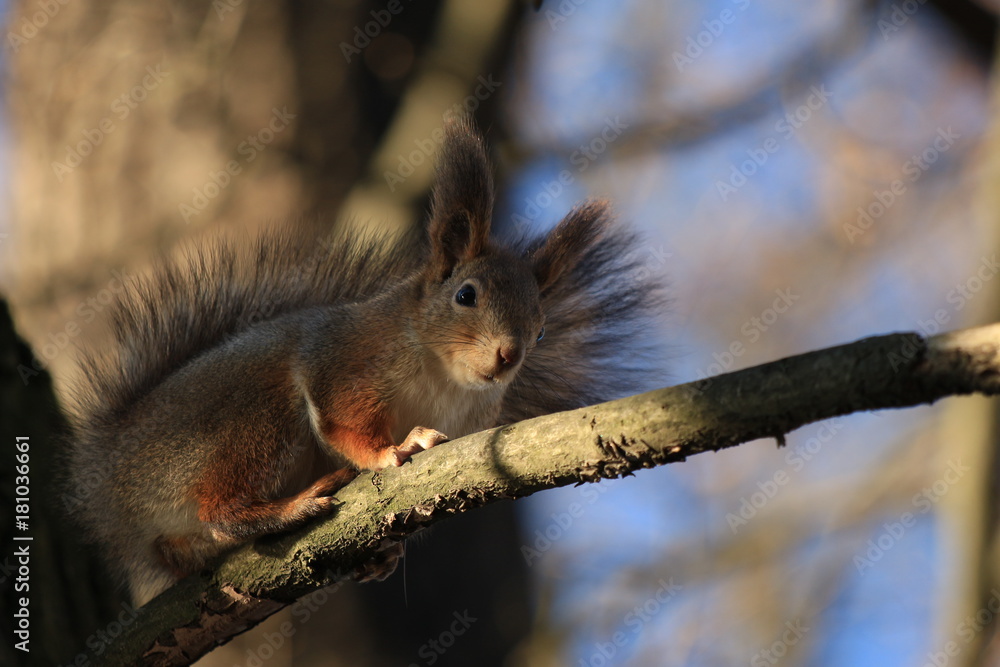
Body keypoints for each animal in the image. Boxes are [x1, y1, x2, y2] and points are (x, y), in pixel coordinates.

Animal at [65, 121, 662, 606]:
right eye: (466, 295)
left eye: (541, 328)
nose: (508, 355)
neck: (445, 378)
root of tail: (111, 487)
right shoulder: (346, 360)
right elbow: (343, 422)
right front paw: (390, 450)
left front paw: (386, 553)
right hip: (247, 422)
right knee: (218, 512)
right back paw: (289, 506)